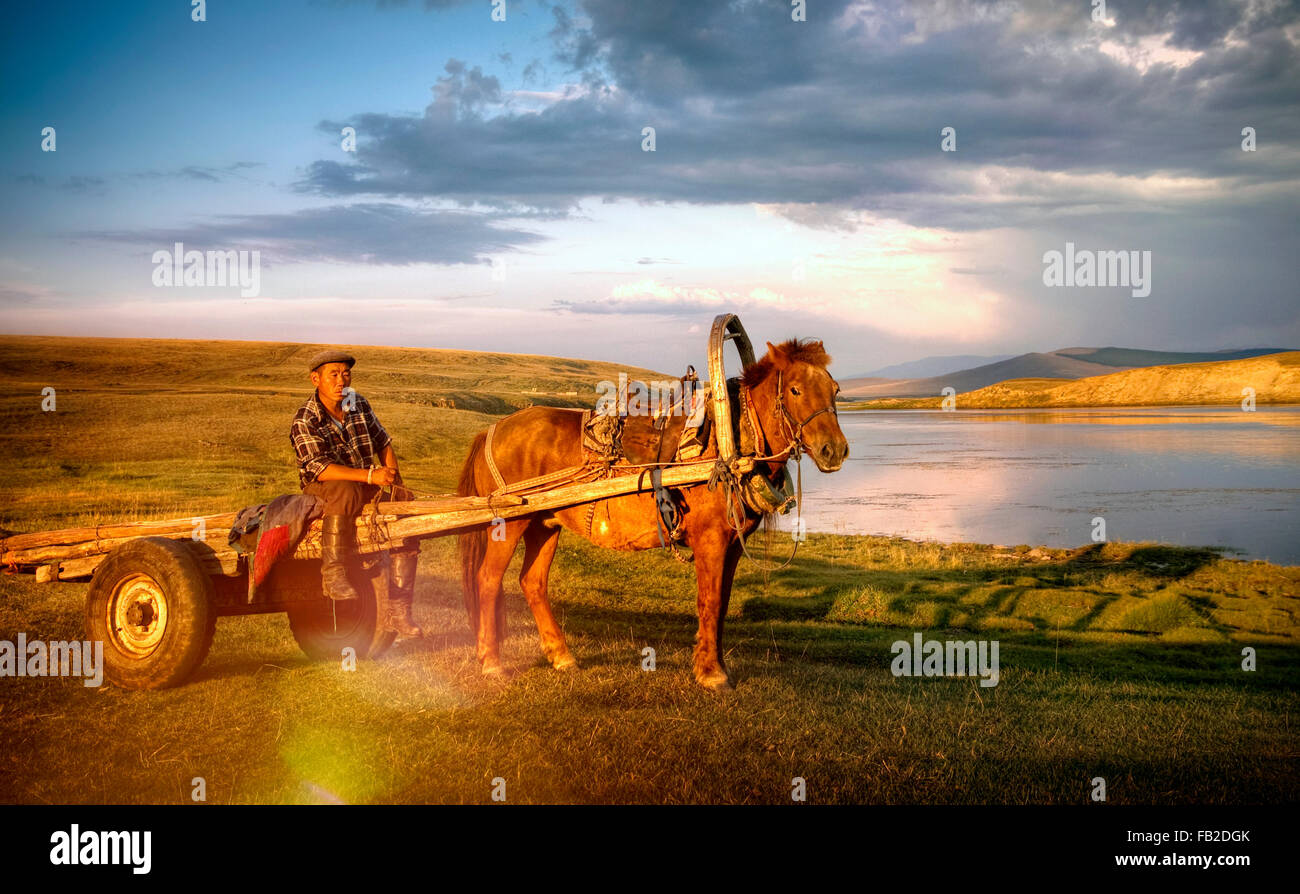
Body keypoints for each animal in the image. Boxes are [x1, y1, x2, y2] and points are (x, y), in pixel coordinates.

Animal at [460, 337, 852, 691]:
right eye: (796, 390)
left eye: (834, 389)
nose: (834, 450)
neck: (729, 443)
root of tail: (492, 429)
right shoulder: (710, 541)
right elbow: (709, 601)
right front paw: (711, 673)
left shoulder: (732, 546)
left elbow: (723, 603)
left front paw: (716, 664)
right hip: (509, 525)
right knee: (488, 580)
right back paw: (492, 662)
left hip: (544, 524)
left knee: (533, 582)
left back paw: (561, 655)